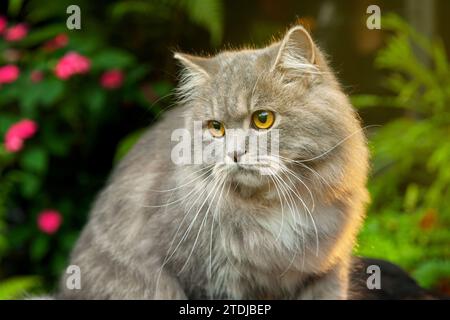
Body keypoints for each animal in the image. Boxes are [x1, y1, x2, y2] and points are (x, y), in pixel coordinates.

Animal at [57, 25, 370, 300]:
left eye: (263, 119)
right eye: (215, 128)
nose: (235, 154)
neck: (273, 208)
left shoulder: (326, 272)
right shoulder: (206, 280)